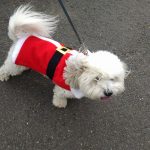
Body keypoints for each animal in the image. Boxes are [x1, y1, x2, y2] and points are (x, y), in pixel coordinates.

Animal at [0, 4, 129, 108]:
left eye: (113, 78)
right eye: (96, 78)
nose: (108, 93)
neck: (76, 73)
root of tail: (20, 37)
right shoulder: (62, 87)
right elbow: (59, 95)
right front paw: (60, 103)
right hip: (14, 65)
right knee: (6, 68)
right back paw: (3, 75)